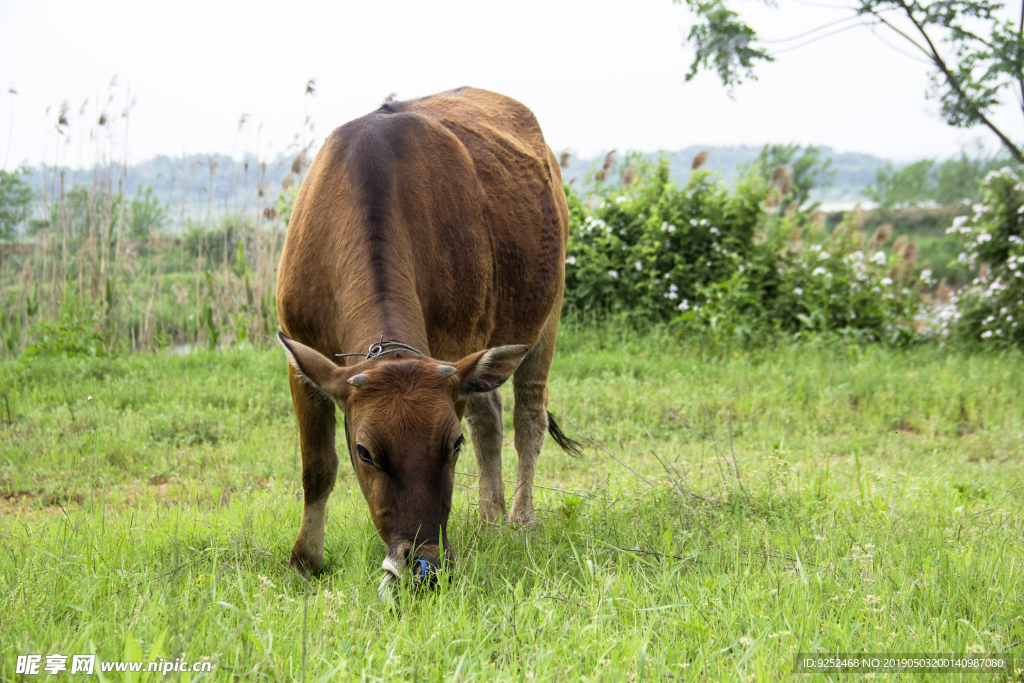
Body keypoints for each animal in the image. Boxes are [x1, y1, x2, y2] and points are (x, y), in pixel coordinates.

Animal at [276, 88, 581, 585]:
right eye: (364, 451)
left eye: (451, 445)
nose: (425, 563)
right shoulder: (300, 356)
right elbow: (316, 467)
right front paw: (306, 561)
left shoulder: (457, 351)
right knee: (490, 419)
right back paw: (489, 519)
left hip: (547, 311)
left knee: (527, 418)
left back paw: (519, 517)